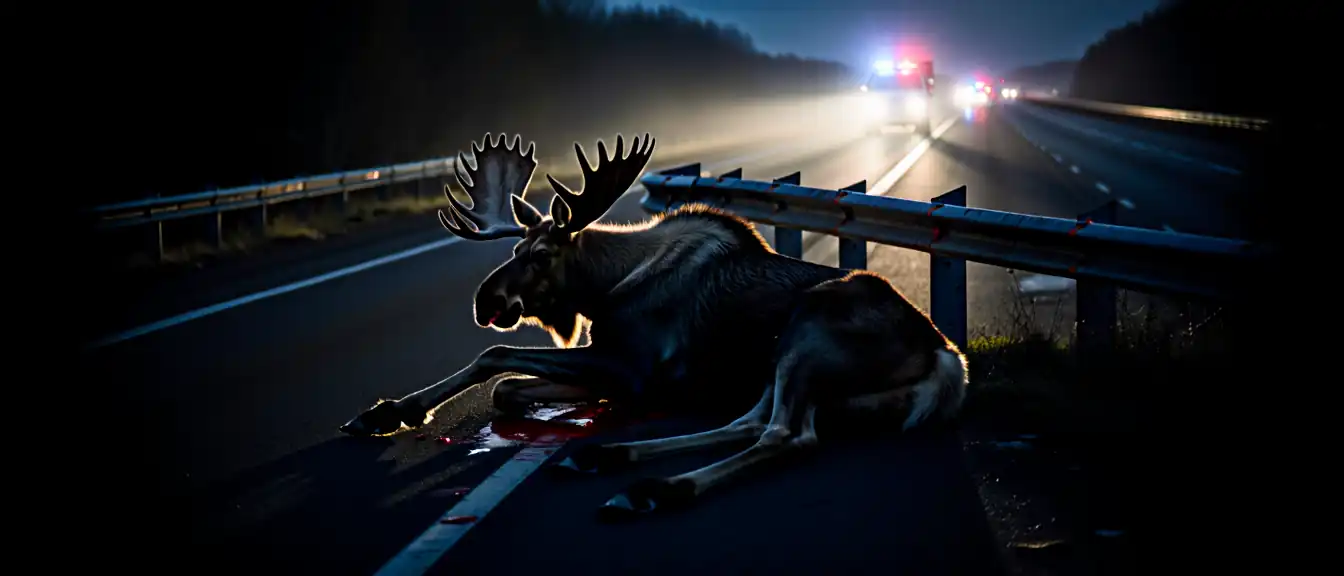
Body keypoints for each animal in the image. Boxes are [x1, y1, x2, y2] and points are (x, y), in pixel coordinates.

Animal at [339, 132, 969, 520]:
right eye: (514, 247)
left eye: (541, 254)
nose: (483, 300)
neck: (606, 286)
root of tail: (946, 360)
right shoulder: (620, 371)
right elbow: (508, 388)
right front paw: (385, 411)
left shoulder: (632, 364)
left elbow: (494, 360)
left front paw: (392, 411)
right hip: (785, 365)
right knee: (748, 421)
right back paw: (605, 458)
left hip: (809, 330)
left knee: (786, 435)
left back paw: (653, 489)